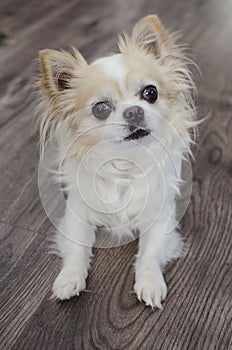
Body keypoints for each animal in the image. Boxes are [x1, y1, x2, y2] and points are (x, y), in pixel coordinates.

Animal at [37, 15, 196, 308]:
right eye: (101, 109)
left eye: (150, 93)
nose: (133, 111)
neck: (127, 162)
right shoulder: (77, 215)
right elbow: (77, 248)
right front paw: (69, 278)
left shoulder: (161, 219)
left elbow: (150, 252)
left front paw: (150, 282)